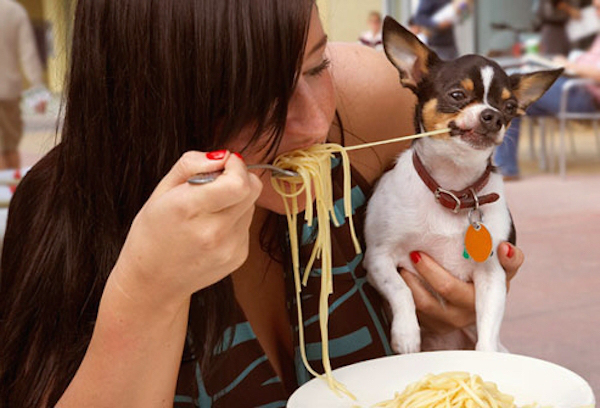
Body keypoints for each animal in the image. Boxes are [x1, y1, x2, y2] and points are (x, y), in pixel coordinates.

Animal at [364, 16, 564, 354]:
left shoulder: (492, 276)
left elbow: (488, 333)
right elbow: (401, 288)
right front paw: (406, 334)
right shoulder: (378, 258)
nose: (493, 116)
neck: (454, 189)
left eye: (509, 107)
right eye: (457, 95)